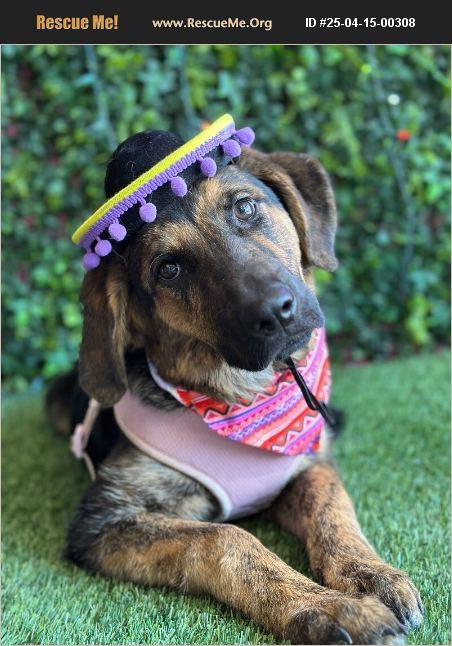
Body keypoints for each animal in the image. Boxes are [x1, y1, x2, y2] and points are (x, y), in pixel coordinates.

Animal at [47, 116, 423, 644]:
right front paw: (329, 608)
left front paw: (369, 574)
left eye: (244, 207)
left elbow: (333, 509)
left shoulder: (309, 465)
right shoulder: (103, 521)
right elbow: (226, 538)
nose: (276, 313)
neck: (246, 397)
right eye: (169, 268)